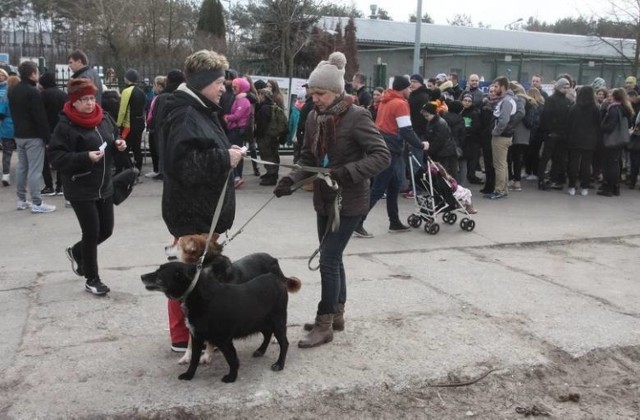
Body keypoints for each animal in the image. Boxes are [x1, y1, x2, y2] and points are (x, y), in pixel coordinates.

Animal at [141, 262, 302, 384]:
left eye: (160, 273)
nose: (141, 276)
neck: (195, 293)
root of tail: (276, 278)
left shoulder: (223, 340)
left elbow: (232, 359)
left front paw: (231, 377)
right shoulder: (196, 336)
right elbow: (194, 359)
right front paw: (189, 375)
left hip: (278, 321)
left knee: (284, 343)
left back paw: (279, 364)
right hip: (260, 321)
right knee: (267, 334)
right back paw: (261, 350)